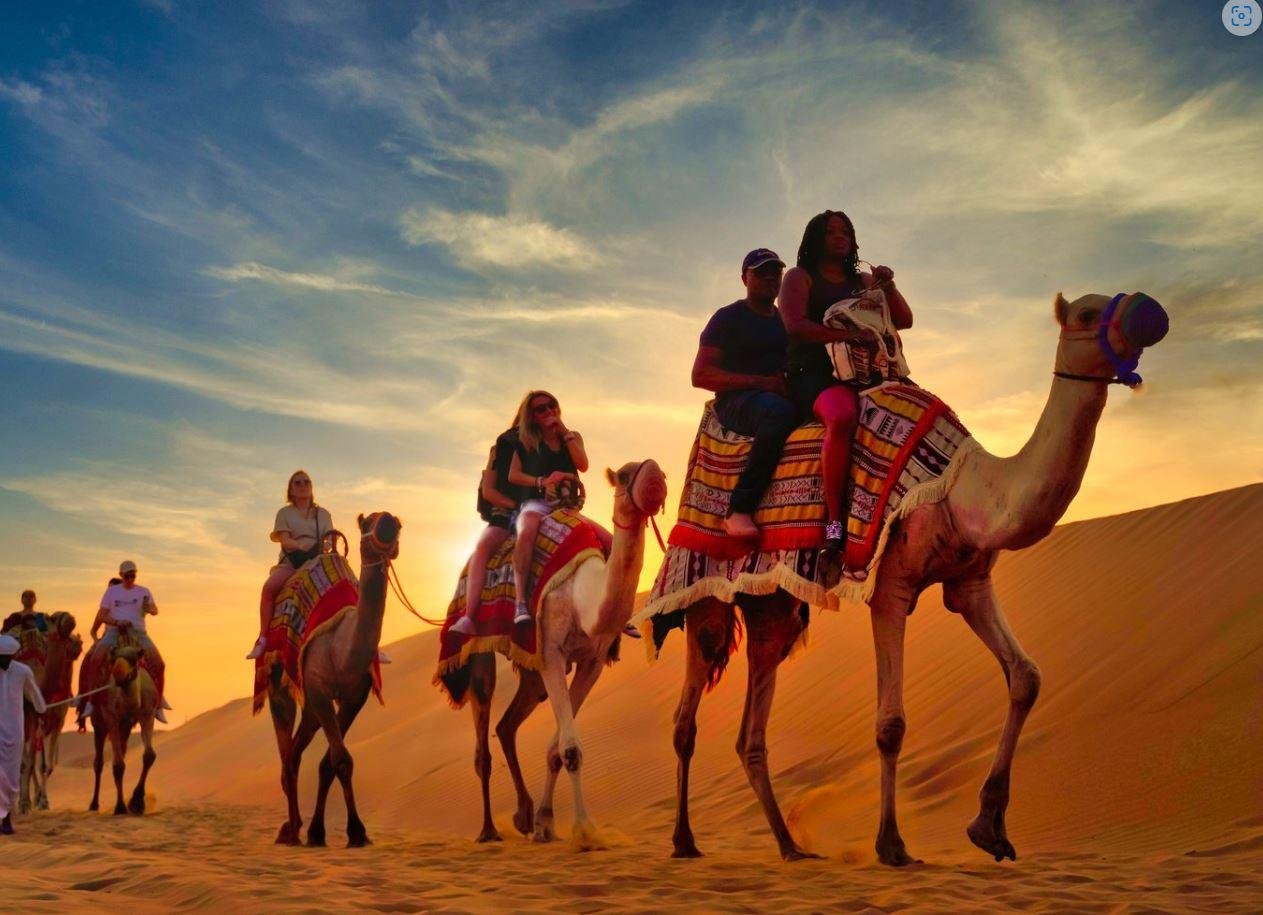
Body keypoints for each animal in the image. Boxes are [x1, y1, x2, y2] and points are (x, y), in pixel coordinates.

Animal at [18, 611, 82, 813]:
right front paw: (25, 803)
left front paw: (42, 800)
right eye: (54, 618)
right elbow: (30, 763)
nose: (69, 617)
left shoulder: (56, 722)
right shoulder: (32, 716)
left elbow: (45, 765)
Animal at [88, 639, 157, 815]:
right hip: (99, 723)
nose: (117, 674)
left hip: (124, 728)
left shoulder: (147, 715)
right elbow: (118, 765)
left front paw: (137, 802)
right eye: (113, 658)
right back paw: (94, 804)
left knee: (122, 754)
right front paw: (120, 806)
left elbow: (149, 755)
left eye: (134, 659)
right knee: (99, 762)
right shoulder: (112, 718)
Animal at [270, 511, 400, 848]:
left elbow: (331, 761)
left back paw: (294, 827)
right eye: (367, 522)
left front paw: (319, 831)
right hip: (280, 679)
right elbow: (340, 758)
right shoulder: (318, 688)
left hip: (312, 709)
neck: (343, 650)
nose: (389, 523)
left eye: (397, 523)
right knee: (286, 751)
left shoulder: (355, 696)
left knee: (295, 753)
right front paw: (355, 831)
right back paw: (291, 831)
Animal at [448, 459, 668, 845]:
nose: (655, 476)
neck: (584, 597)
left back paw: (522, 815)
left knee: (506, 726)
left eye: (662, 473)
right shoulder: (552, 652)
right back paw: (489, 830)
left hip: (531, 670)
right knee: (483, 737)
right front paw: (584, 829)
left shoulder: (592, 662)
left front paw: (545, 822)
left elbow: (556, 749)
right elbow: (570, 750)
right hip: (481, 651)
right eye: (624, 476)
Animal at [665, 291, 1170, 864]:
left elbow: (1026, 677)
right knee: (687, 714)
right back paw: (684, 841)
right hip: (703, 587)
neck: (962, 488)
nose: (1149, 310)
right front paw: (892, 844)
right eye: (1087, 313)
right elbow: (891, 724)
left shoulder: (970, 583)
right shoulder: (891, 587)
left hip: (771, 604)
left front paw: (990, 827)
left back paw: (792, 846)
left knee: (751, 728)